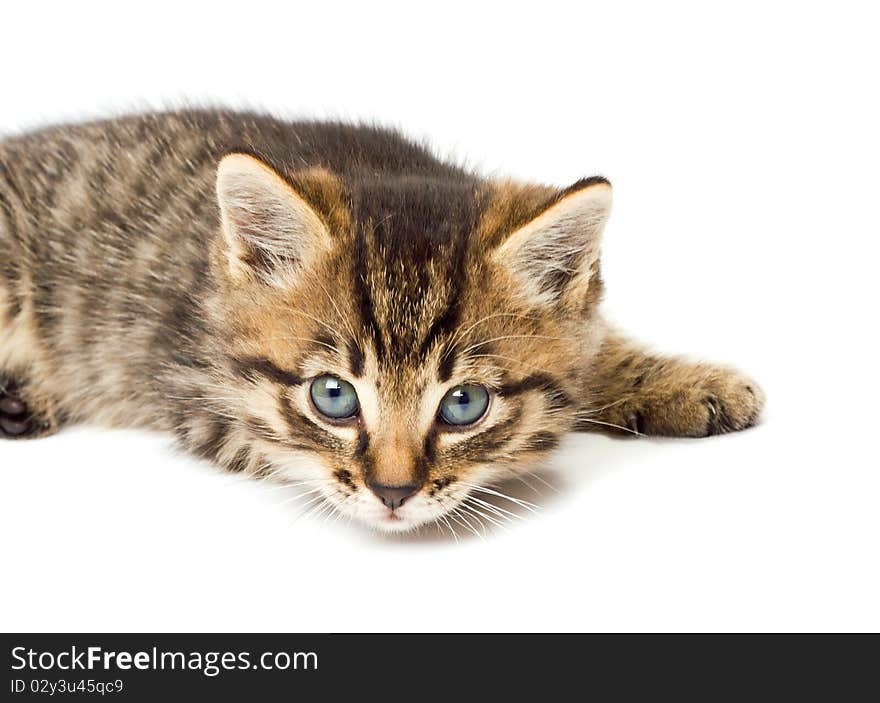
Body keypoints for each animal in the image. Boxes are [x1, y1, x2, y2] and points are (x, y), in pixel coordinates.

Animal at [0, 110, 764, 532]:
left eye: (464, 403)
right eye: (332, 395)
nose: (393, 492)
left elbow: (595, 348)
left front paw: (688, 383)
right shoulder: (193, 389)